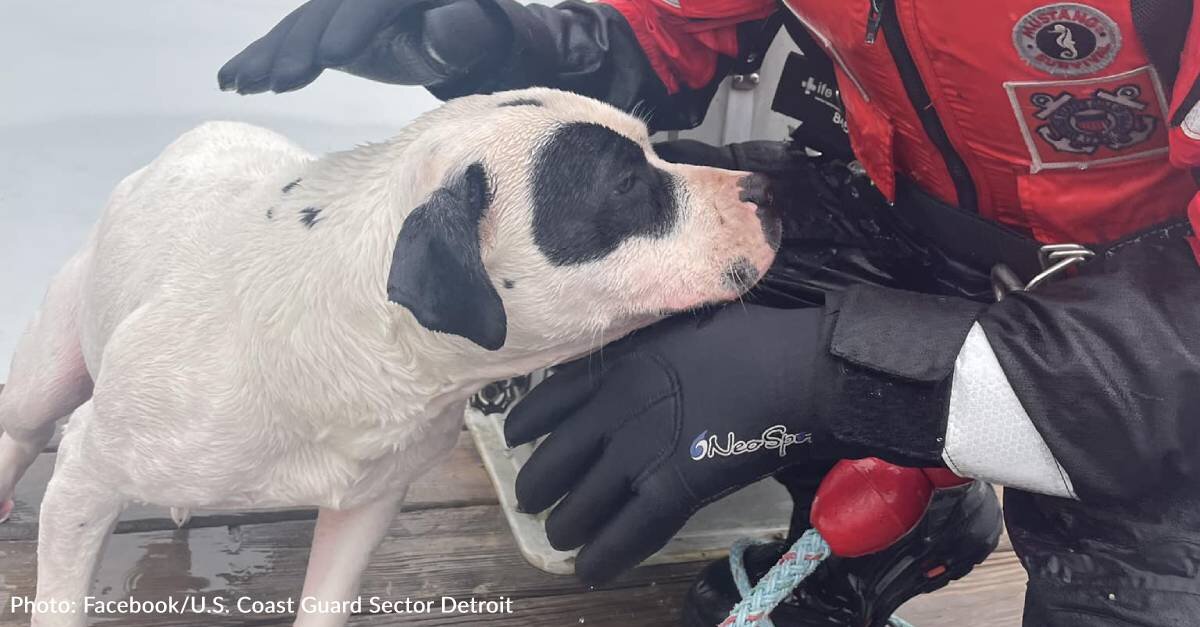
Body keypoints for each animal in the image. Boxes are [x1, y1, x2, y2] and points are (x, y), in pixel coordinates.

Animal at [0, 87, 777, 624]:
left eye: (657, 149)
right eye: (624, 185)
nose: (767, 188)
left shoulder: (365, 507)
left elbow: (325, 601)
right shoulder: (86, 476)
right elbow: (61, 595)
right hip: (51, 370)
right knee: (23, 425)